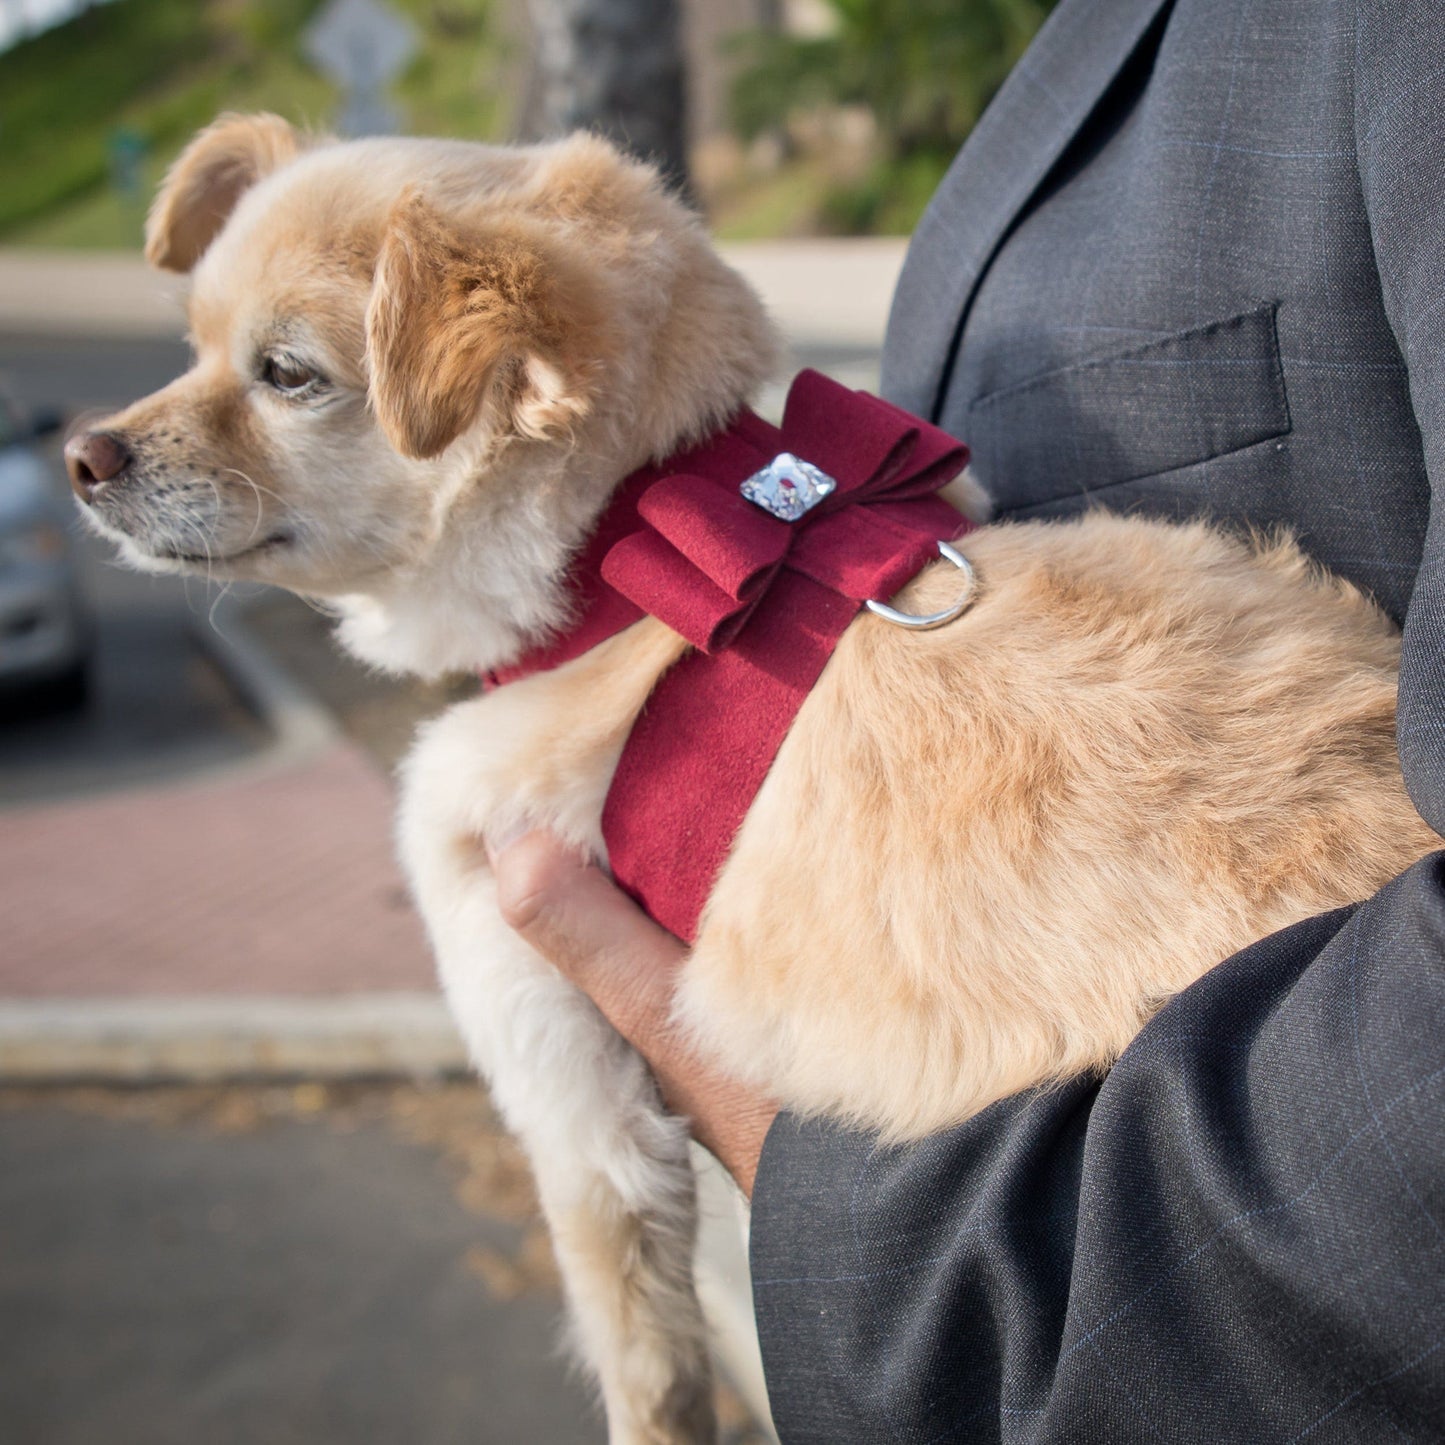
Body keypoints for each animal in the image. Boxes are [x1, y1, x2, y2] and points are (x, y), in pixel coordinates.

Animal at [70, 112, 1445, 1445]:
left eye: (287, 374)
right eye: (190, 348)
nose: (85, 453)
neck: (627, 562)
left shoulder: (577, 1118)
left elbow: (650, 1374)